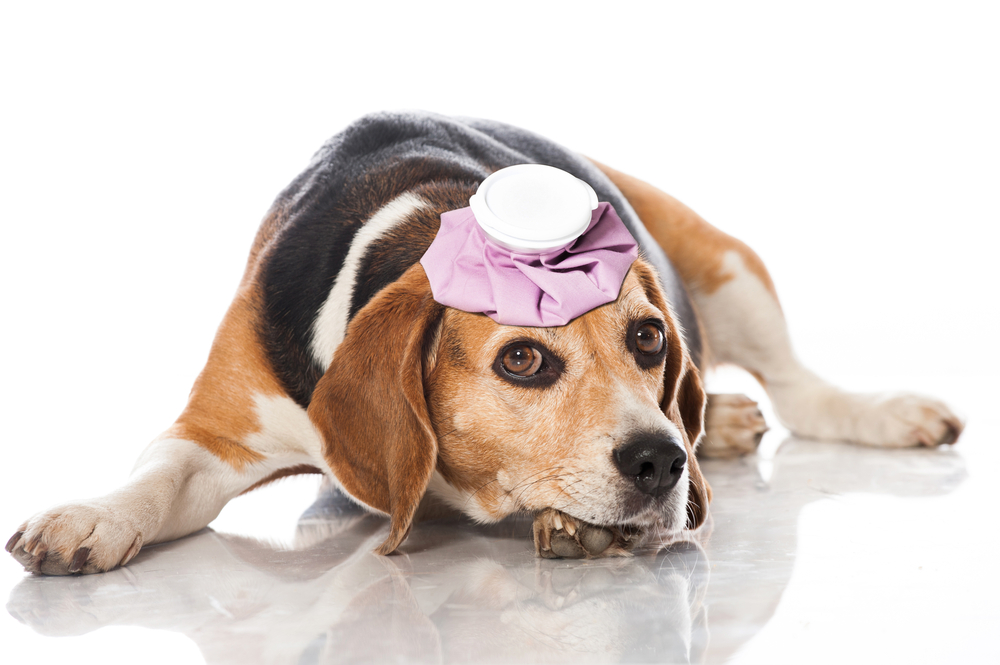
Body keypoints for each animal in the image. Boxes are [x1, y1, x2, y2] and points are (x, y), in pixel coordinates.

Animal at [5, 111, 960, 572]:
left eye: (648, 337)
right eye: (522, 357)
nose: (660, 462)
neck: (427, 211)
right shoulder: (218, 428)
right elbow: (158, 479)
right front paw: (89, 519)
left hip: (726, 261)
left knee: (801, 386)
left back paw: (868, 412)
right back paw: (718, 422)